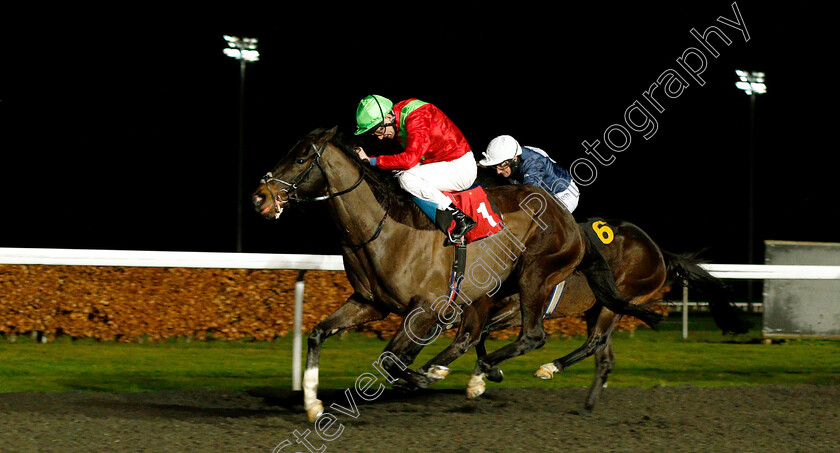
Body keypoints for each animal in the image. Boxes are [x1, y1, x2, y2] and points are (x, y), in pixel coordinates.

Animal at [253, 127, 660, 420]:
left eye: (301, 158)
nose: (260, 196)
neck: (386, 228)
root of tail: (570, 223)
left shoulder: (426, 307)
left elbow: (391, 359)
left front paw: (420, 376)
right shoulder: (370, 303)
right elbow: (319, 334)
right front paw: (312, 404)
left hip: (538, 278)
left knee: (535, 336)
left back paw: (497, 371)